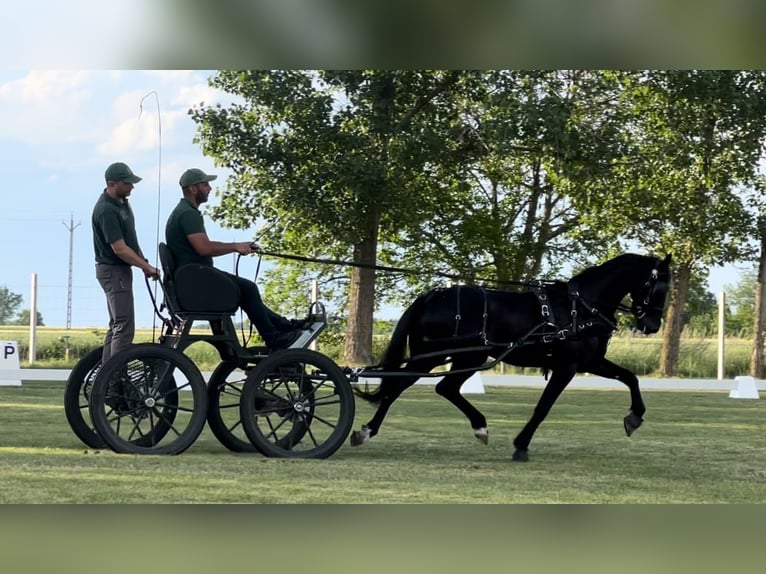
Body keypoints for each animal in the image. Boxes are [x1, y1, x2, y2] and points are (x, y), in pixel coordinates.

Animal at [352, 254, 672, 462]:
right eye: (657, 287)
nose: (652, 325)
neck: (580, 307)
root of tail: (431, 296)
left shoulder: (589, 362)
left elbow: (629, 377)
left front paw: (634, 417)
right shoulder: (568, 366)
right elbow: (543, 408)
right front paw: (521, 446)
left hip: (459, 358)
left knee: (439, 388)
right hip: (446, 357)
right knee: (405, 386)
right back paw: (368, 431)